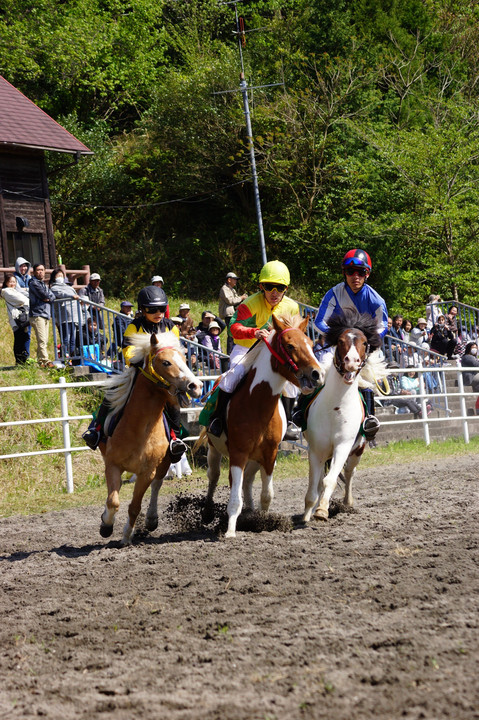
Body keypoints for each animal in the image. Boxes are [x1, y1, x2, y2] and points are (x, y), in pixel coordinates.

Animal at [97, 332, 202, 544]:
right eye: (166, 362)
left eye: (185, 359)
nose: (196, 386)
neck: (139, 429)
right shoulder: (112, 464)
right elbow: (113, 501)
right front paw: (106, 525)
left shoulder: (147, 472)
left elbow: (135, 506)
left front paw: (127, 535)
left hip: (165, 462)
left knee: (157, 485)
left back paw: (152, 519)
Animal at [201, 312, 324, 536]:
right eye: (290, 345)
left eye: (311, 344)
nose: (317, 374)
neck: (257, 405)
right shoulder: (238, 453)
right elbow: (234, 498)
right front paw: (230, 531)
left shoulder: (269, 454)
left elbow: (266, 495)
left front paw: (263, 521)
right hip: (215, 449)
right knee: (214, 477)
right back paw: (207, 512)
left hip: (254, 459)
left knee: (247, 482)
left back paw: (249, 512)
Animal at [304, 310, 390, 524]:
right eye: (341, 341)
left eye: (365, 342)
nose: (351, 362)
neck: (336, 408)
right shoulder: (316, 450)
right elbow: (314, 487)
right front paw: (308, 514)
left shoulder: (343, 446)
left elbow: (331, 480)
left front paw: (322, 511)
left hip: (357, 450)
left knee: (350, 473)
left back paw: (347, 503)